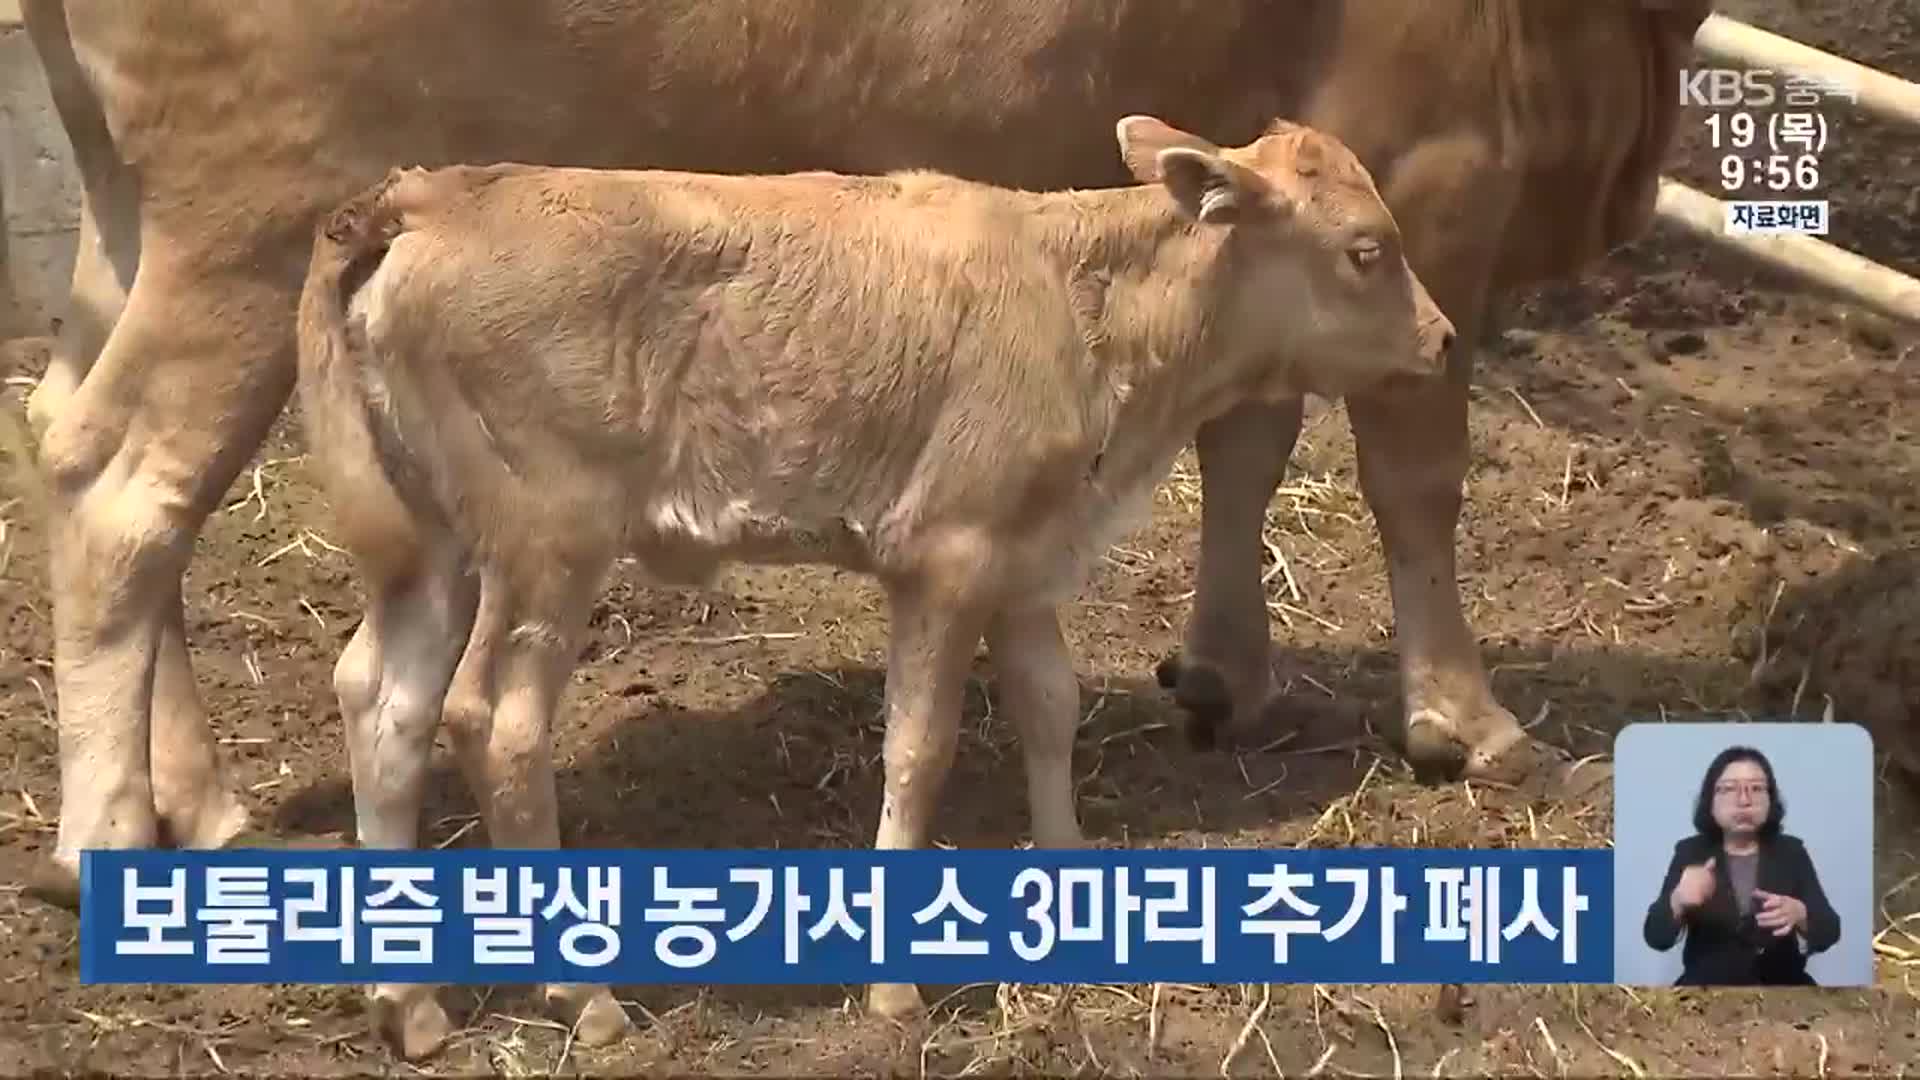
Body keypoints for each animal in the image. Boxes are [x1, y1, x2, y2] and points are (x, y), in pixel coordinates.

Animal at [22, 0, 1712, 907]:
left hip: (137, 219)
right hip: (247, 230)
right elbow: (1412, 478)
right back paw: (100, 828)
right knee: (126, 500)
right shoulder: (1438, 177)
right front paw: (1467, 721)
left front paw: (1225, 665)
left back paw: (195, 801)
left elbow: (1248, 428)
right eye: (1371, 250)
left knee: (64, 432)